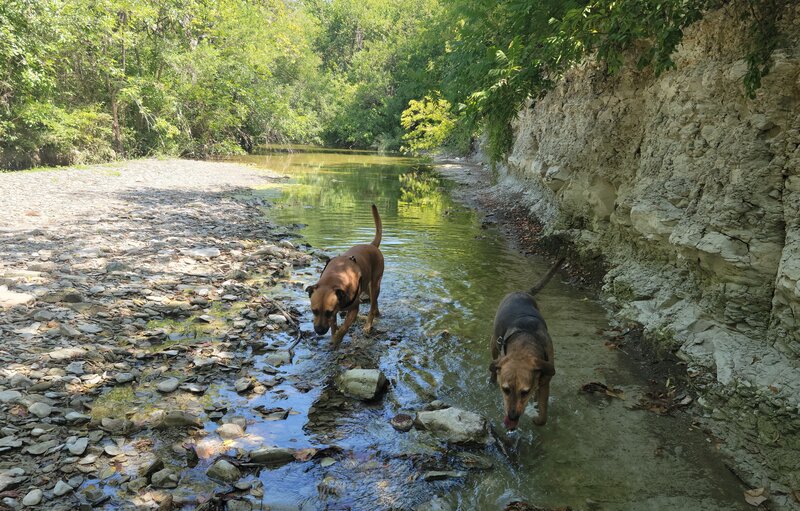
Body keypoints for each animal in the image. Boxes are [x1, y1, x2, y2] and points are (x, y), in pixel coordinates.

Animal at [304, 205, 382, 348]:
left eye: (328, 312)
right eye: (314, 311)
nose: (319, 331)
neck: (333, 279)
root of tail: (372, 245)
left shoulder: (353, 310)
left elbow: (344, 328)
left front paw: (336, 340)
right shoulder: (334, 313)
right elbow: (334, 327)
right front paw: (334, 336)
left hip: (375, 284)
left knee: (372, 306)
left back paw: (368, 325)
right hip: (367, 286)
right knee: (374, 303)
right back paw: (377, 312)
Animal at [488, 258, 564, 430]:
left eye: (525, 392)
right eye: (505, 390)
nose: (512, 417)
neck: (525, 344)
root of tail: (521, 291)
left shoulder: (545, 382)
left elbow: (543, 415)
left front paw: (537, 417)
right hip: (494, 343)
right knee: (493, 364)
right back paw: (492, 379)